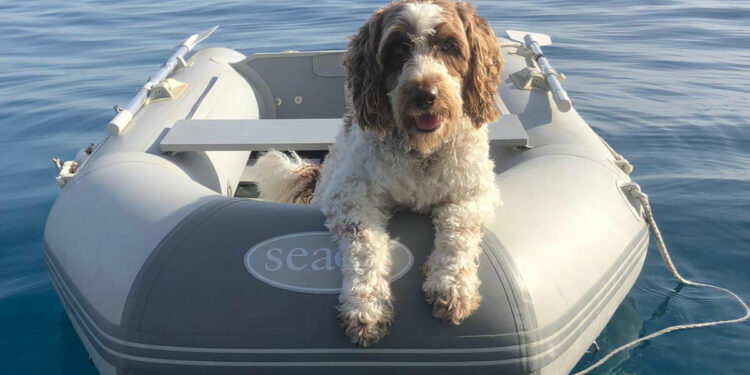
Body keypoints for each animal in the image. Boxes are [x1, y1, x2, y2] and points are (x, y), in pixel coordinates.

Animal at [251, 0, 506, 346]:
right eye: (397, 49)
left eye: (449, 46)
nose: (425, 95)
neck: (421, 152)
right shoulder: (350, 198)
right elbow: (366, 247)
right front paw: (366, 307)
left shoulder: (476, 192)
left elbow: (459, 228)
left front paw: (451, 286)